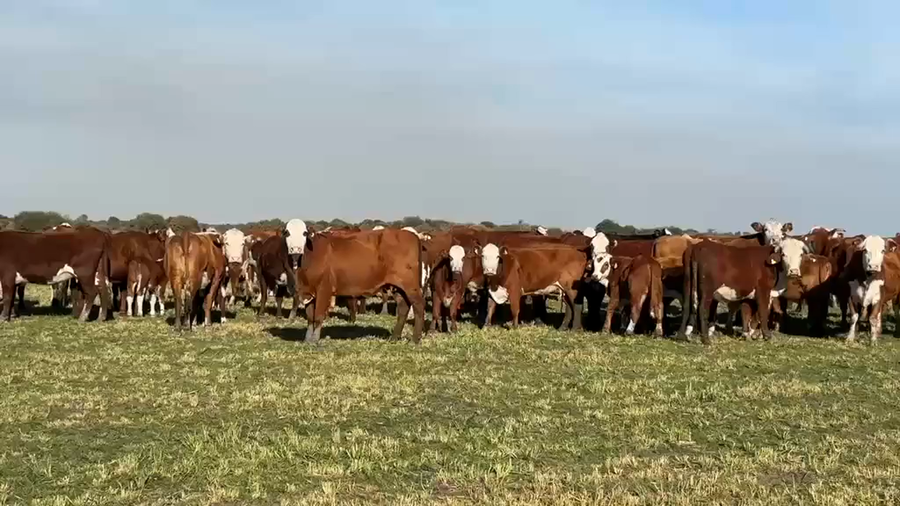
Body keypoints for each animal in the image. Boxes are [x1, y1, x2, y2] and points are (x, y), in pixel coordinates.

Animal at [297, 228, 426, 343]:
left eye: (303, 234)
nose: (297, 249)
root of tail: (412, 235)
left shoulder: (324, 290)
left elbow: (318, 316)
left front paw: (314, 340)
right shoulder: (307, 292)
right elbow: (310, 317)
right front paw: (307, 339)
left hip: (411, 286)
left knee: (418, 306)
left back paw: (415, 339)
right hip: (398, 288)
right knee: (403, 307)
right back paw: (394, 337)